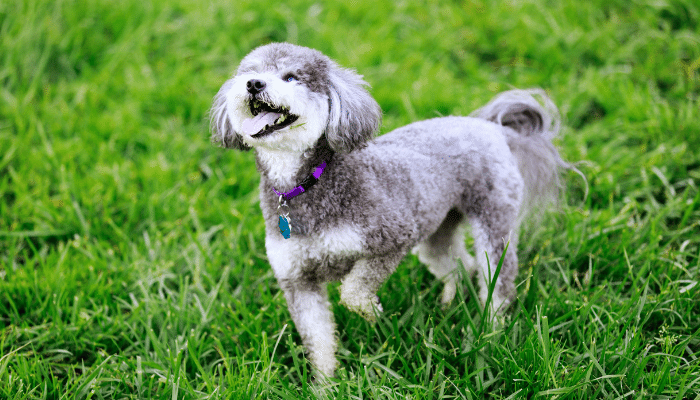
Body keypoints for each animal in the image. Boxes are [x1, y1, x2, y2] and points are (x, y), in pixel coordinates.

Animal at [211, 43, 572, 378]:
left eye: (291, 77)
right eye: (249, 72)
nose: (253, 84)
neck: (306, 185)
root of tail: (491, 127)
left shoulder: (392, 239)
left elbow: (353, 292)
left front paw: (374, 316)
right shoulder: (297, 280)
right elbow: (319, 340)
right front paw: (326, 384)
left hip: (493, 221)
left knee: (497, 280)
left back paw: (490, 331)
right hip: (437, 228)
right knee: (458, 264)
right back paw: (449, 305)